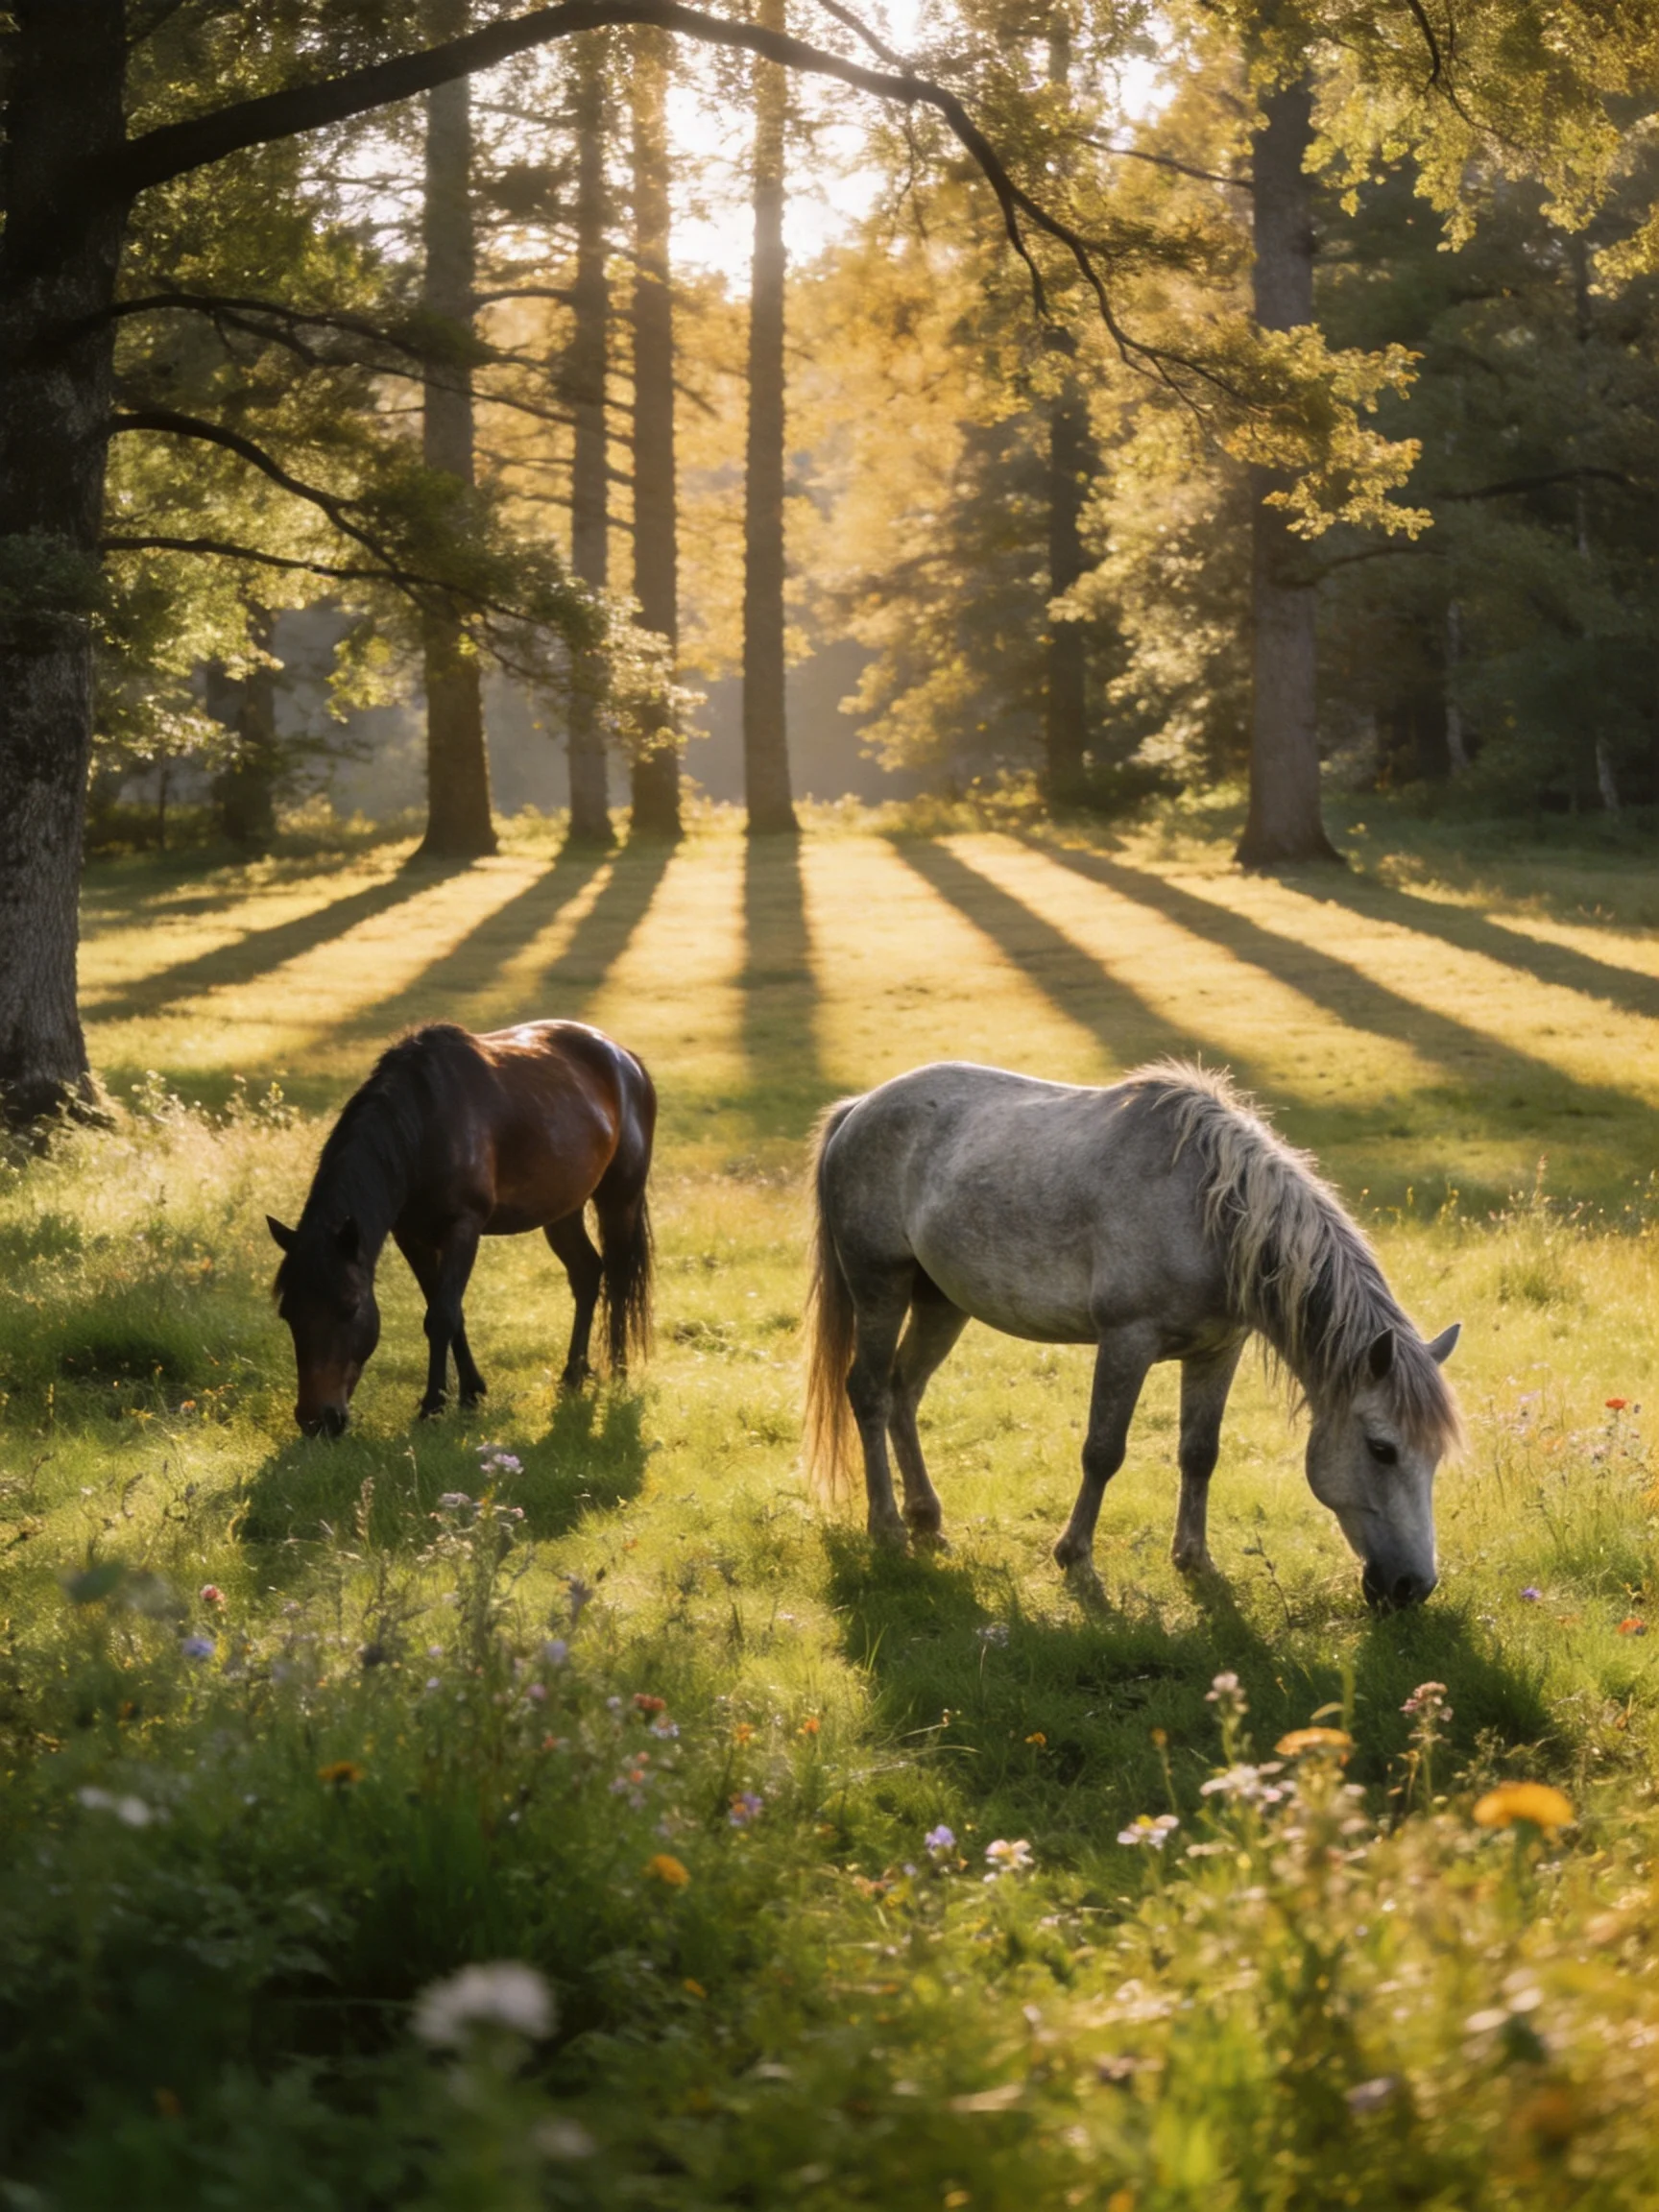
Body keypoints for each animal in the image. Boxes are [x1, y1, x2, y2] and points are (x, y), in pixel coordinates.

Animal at [267, 1020, 654, 1437]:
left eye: (350, 1308)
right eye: (288, 1313)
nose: (316, 1420)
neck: (425, 1123)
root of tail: (627, 1059)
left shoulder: (463, 1228)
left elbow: (441, 1317)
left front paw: (433, 1405)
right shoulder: (412, 1237)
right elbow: (450, 1311)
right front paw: (470, 1393)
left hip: (620, 1200)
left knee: (618, 1280)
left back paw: (618, 1370)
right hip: (563, 1210)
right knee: (587, 1274)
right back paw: (574, 1374)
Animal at [804, 1059, 1462, 1608]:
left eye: (1435, 1456)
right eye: (1382, 1448)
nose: (1414, 1587)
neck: (1209, 1214)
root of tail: (859, 1107)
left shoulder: (1218, 1352)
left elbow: (1199, 1454)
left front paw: (1195, 1561)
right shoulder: (1127, 1341)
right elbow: (1103, 1451)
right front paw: (1075, 1558)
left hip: (941, 1303)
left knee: (904, 1392)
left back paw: (928, 1522)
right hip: (880, 1287)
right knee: (869, 1392)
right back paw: (888, 1528)